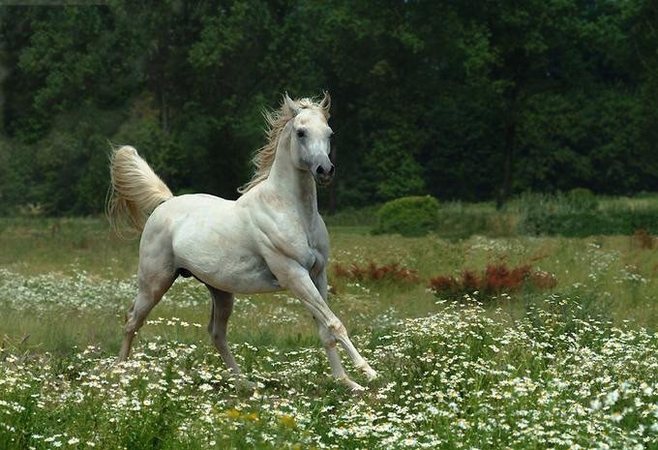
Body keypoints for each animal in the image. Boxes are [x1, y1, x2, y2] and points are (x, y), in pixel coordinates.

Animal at [107, 93, 378, 391]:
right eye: (301, 132)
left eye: (329, 133)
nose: (325, 170)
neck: (290, 211)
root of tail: (165, 203)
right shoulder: (294, 275)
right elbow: (333, 323)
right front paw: (368, 371)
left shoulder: (318, 275)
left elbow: (325, 328)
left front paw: (348, 383)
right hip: (154, 282)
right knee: (132, 321)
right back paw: (118, 375)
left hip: (220, 291)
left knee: (216, 333)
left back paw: (245, 384)